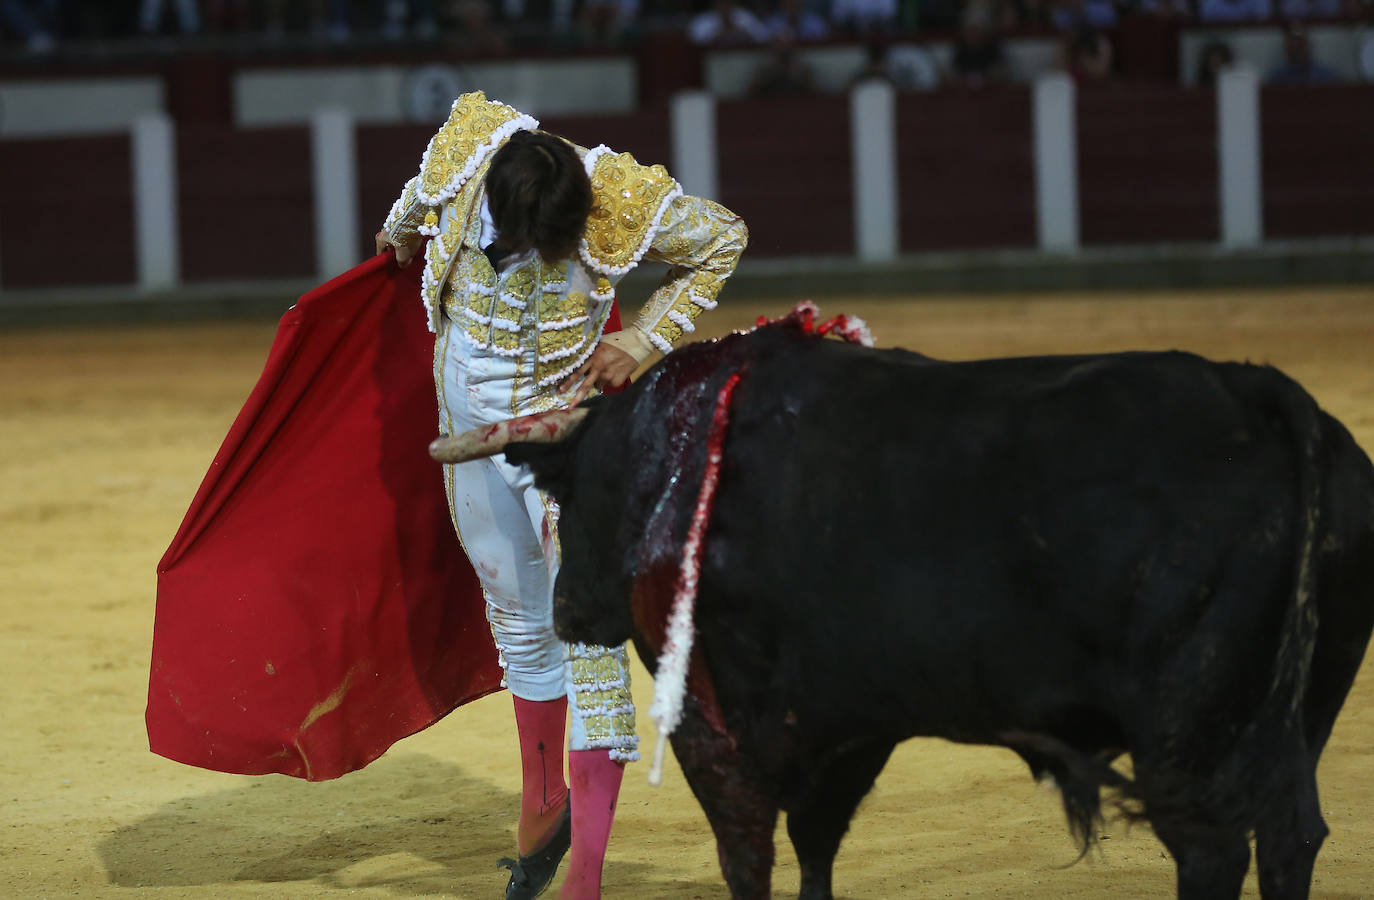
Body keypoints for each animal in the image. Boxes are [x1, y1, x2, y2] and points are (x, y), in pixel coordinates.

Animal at [431, 314, 1374, 900]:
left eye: (571, 491)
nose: (566, 611)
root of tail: (1269, 398)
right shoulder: (850, 727)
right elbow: (815, 849)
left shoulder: (716, 725)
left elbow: (752, 855)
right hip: (1298, 717)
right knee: (1291, 837)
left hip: (1190, 735)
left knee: (1214, 852)